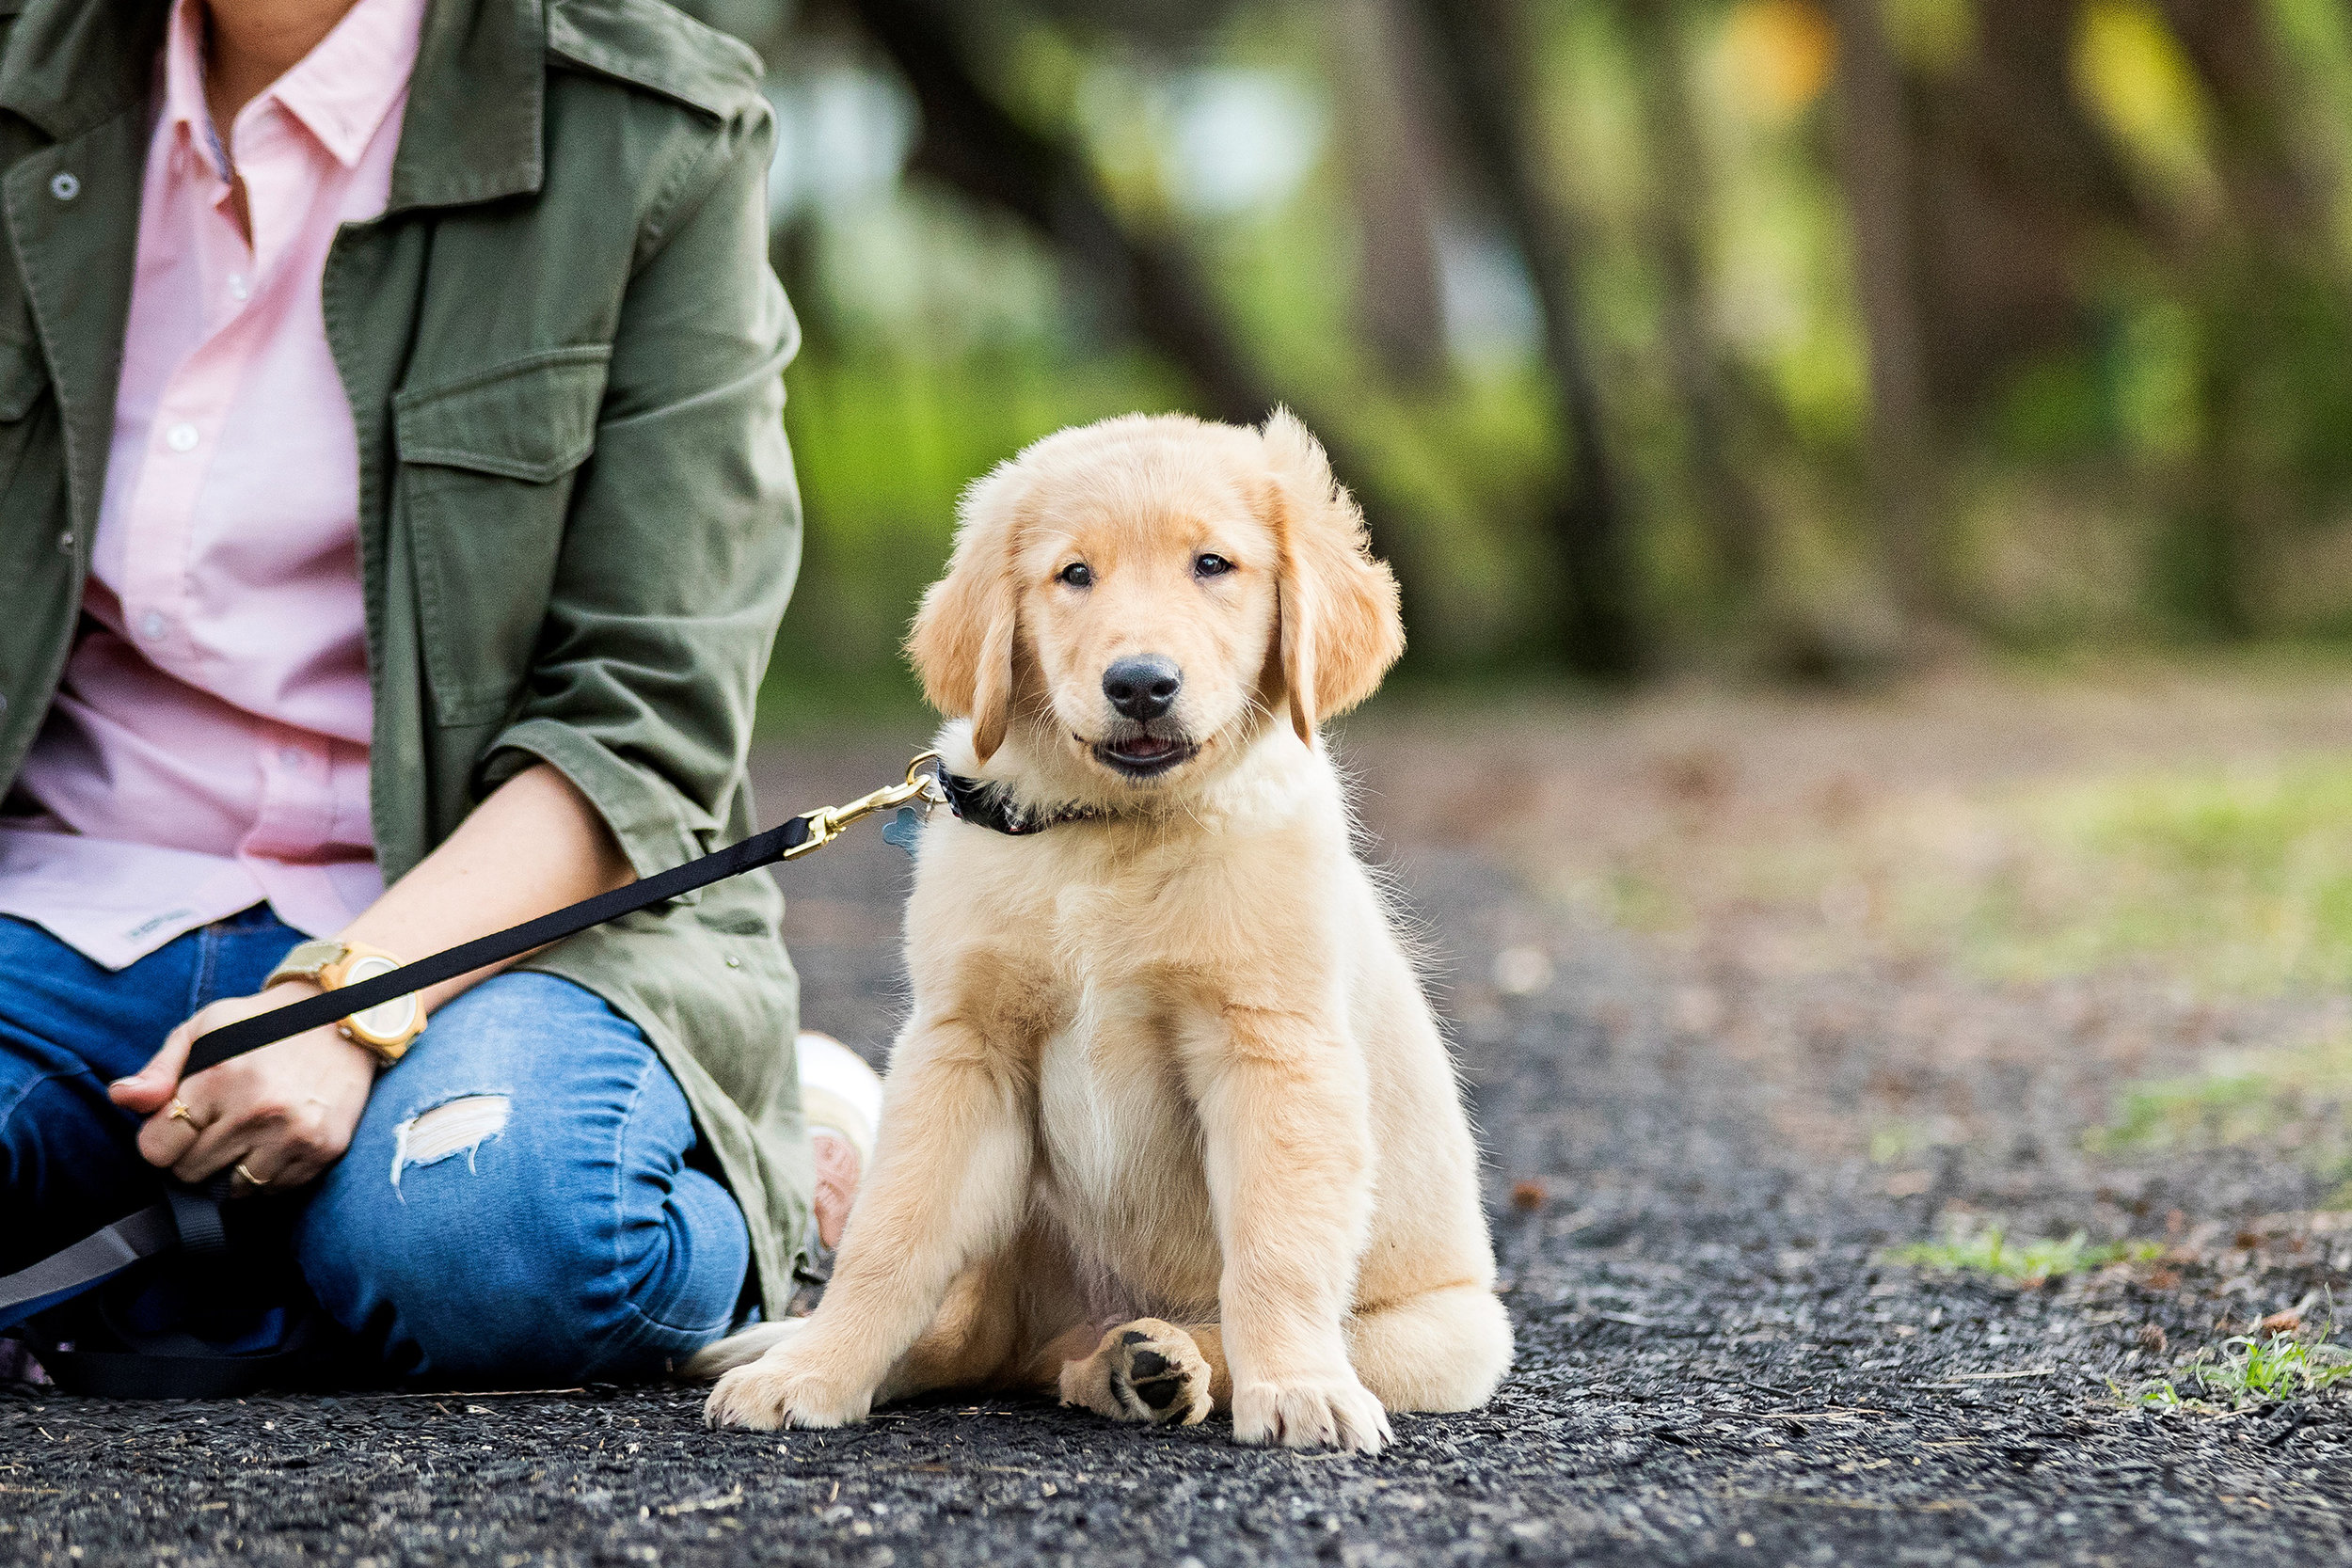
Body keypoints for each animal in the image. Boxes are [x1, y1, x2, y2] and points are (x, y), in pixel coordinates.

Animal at [691, 411, 1505, 1457]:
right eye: (1073, 573)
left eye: (1213, 564)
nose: (1142, 684)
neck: (1107, 831)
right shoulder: (964, 1048)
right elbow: (890, 1237)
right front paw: (814, 1369)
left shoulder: (1273, 1046)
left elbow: (1274, 1251)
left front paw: (1301, 1386)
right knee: (974, 1339)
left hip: (1450, 1332)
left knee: (1171, 1335)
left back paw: (1151, 1361)